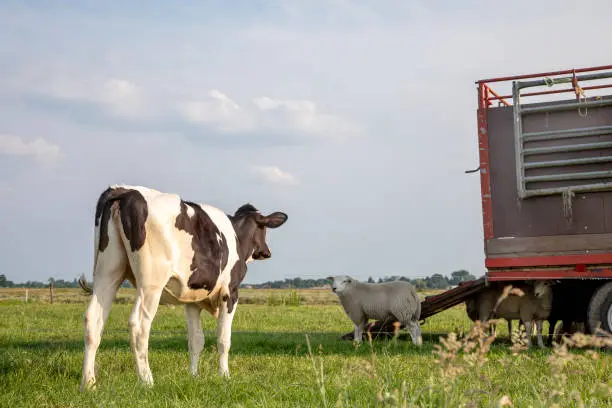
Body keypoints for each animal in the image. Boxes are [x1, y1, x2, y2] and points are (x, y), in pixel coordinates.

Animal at [80, 184, 288, 388]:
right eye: (263, 228)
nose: (267, 252)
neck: (236, 237)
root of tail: (124, 190)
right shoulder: (230, 293)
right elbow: (223, 338)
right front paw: (225, 375)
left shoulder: (192, 301)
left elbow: (196, 340)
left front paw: (193, 375)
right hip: (150, 283)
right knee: (138, 326)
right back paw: (146, 381)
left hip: (108, 272)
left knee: (93, 320)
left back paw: (89, 383)